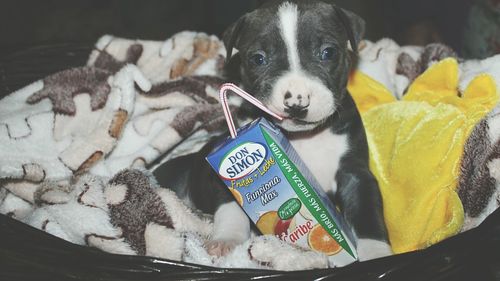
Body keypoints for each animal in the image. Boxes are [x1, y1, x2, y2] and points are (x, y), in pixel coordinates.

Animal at [154, 0, 392, 260]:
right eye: (258, 59)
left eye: (328, 52)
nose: (297, 101)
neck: (300, 138)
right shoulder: (220, 175)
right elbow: (231, 205)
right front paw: (227, 239)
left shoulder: (355, 174)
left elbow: (367, 213)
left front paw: (377, 254)